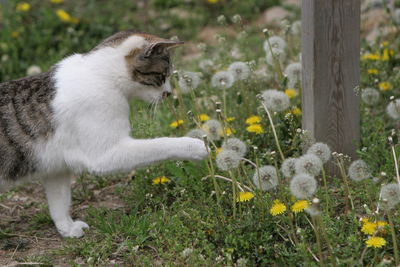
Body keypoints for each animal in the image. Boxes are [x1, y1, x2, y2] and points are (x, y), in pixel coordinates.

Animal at [0, 30, 211, 239]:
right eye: (162, 75)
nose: (168, 93)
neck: (102, 75)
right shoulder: (104, 155)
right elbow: (161, 145)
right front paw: (198, 146)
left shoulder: (55, 167)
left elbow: (59, 202)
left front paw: (67, 228)